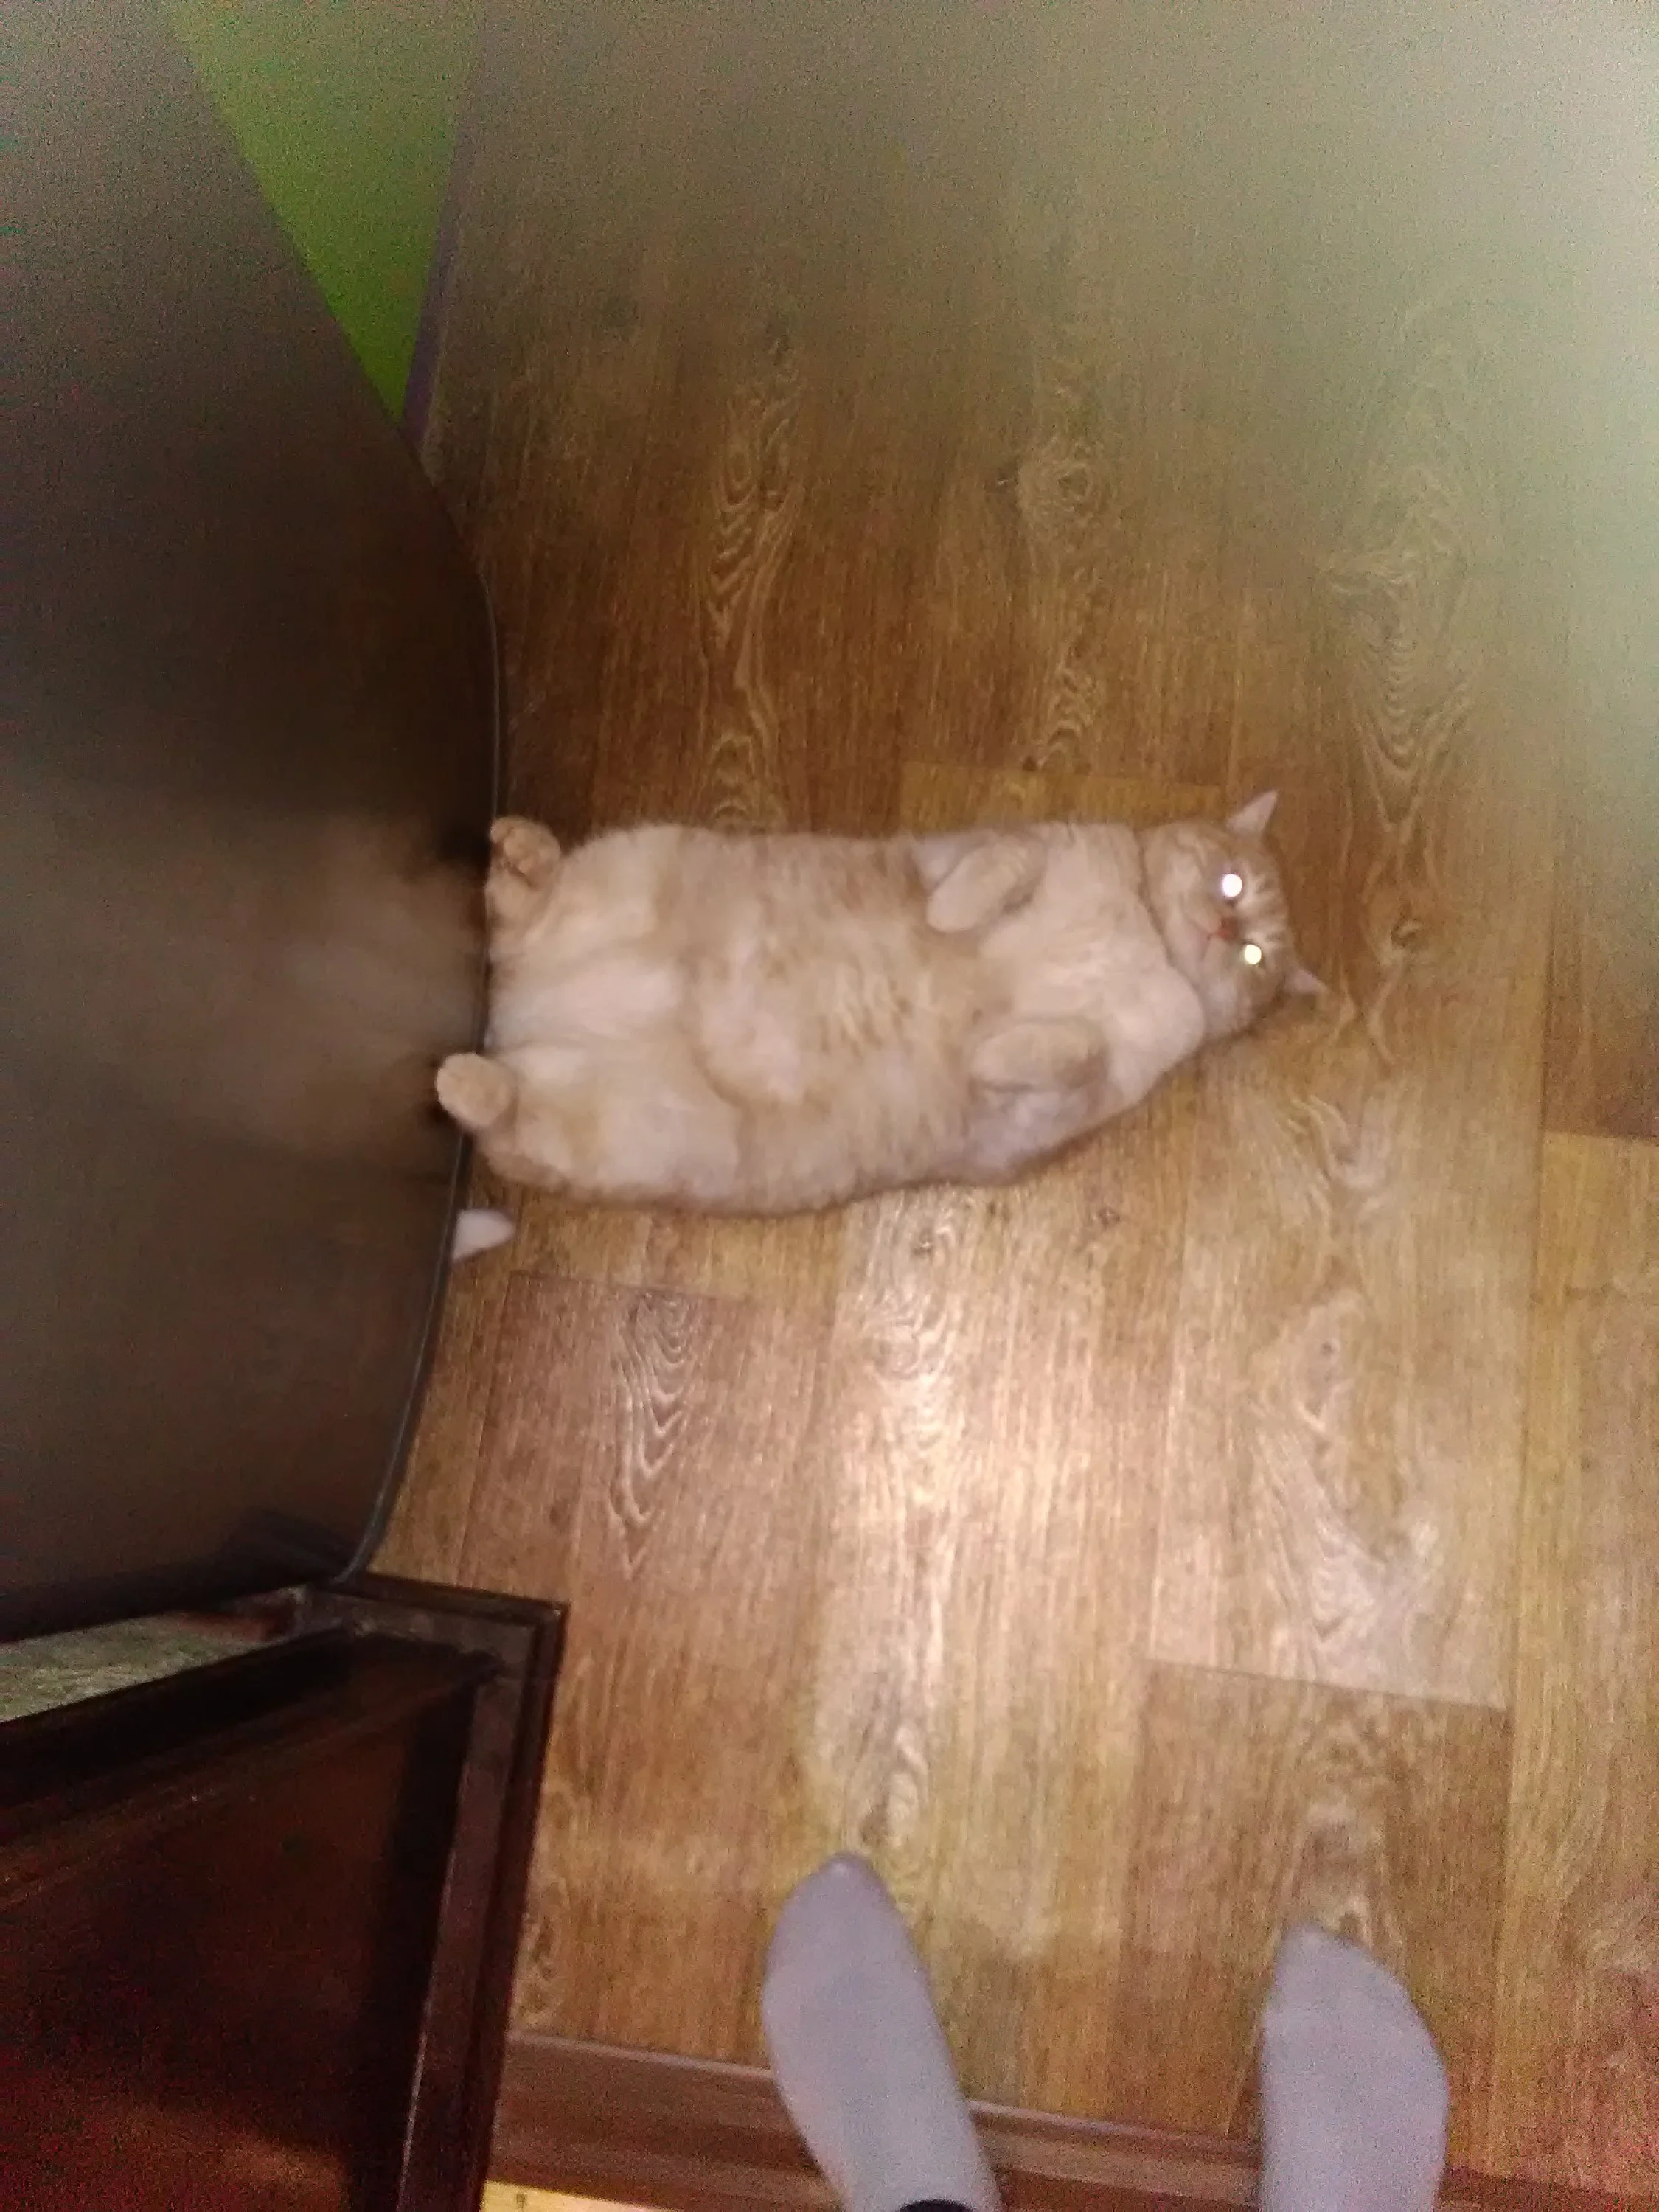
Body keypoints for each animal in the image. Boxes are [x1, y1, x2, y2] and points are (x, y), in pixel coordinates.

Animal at [435, 794, 1318, 1215]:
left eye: (1254, 956)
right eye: (1230, 884)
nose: (1224, 929)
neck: (1146, 939)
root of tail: (516, 1013)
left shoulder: (1069, 1100)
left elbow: (1071, 1049)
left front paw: (997, 1047)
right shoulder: (1001, 844)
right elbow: (1006, 862)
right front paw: (955, 915)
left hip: (618, 1132)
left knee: (502, 1111)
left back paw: (466, 1076)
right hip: (633, 865)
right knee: (514, 919)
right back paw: (523, 850)